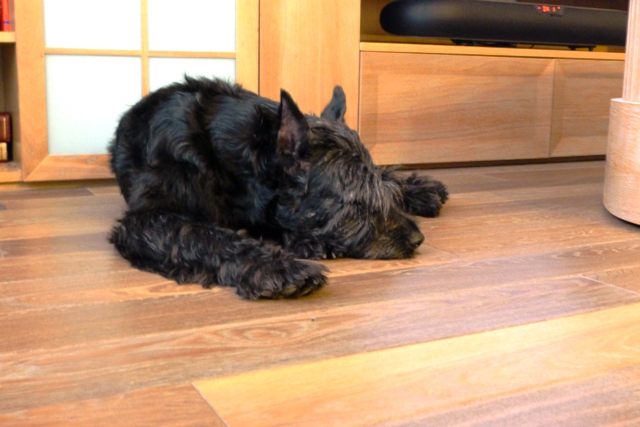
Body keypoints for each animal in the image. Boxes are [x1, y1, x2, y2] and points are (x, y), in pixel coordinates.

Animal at [108, 77, 447, 299]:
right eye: (355, 203)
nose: (417, 239)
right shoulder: (148, 219)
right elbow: (207, 236)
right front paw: (276, 267)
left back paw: (425, 191)